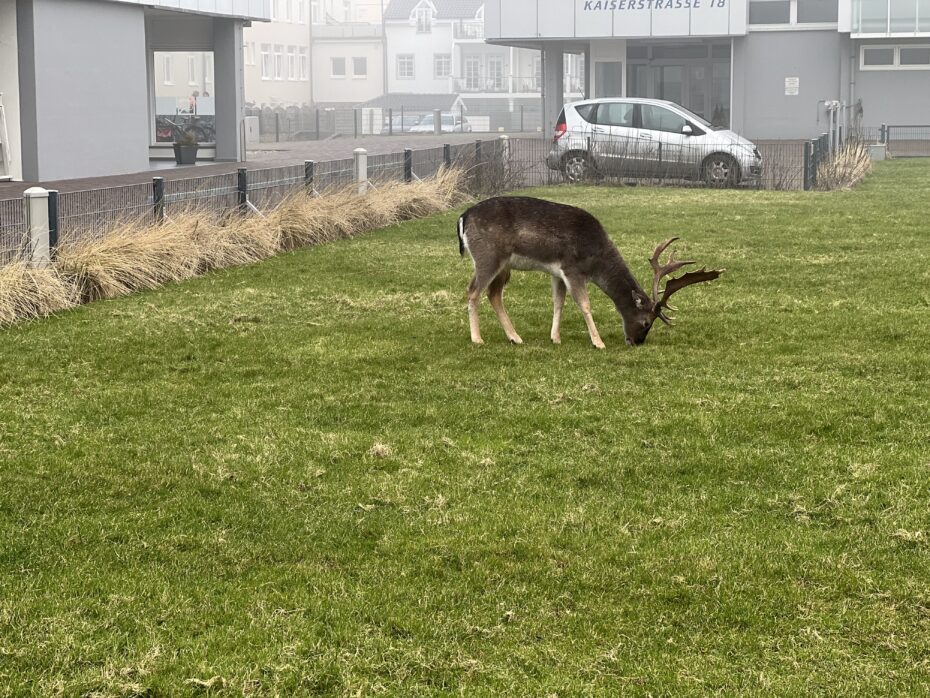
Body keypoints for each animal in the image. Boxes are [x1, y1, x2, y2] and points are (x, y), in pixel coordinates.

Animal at [454, 194, 716, 346]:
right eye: (646, 323)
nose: (636, 342)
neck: (596, 257)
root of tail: (463, 217)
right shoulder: (572, 268)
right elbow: (584, 304)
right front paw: (598, 342)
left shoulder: (557, 272)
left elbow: (559, 302)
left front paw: (555, 338)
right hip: (488, 257)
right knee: (473, 290)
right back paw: (477, 339)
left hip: (503, 266)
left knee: (493, 294)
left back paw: (515, 337)